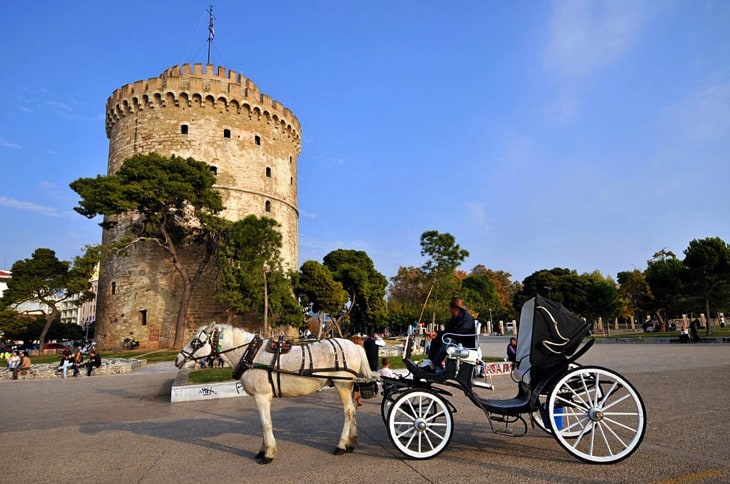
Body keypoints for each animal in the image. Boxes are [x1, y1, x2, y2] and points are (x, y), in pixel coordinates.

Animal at [173, 324, 372, 464]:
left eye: (196, 342)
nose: (177, 359)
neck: (250, 354)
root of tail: (353, 344)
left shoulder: (261, 396)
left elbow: (265, 424)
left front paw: (268, 453)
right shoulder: (259, 397)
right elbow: (263, 423)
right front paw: (263, 450)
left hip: (342, 384)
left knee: (348, 412)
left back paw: (341, 445)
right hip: (349, 385)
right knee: (353, 409)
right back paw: (352, 442)